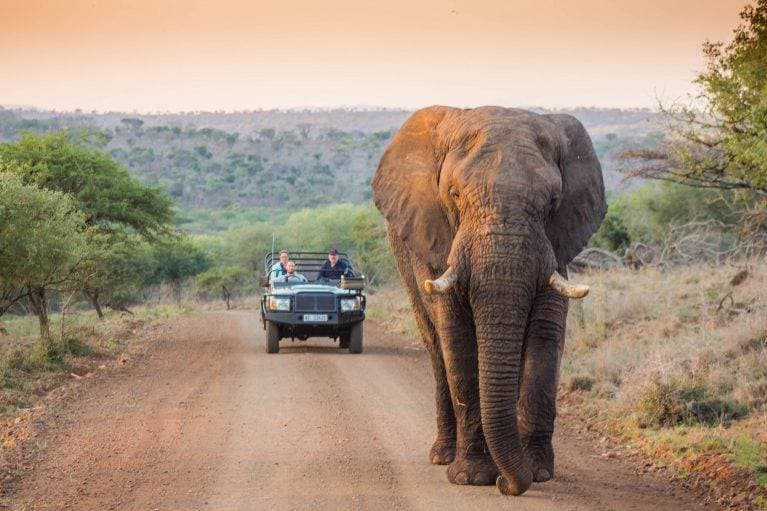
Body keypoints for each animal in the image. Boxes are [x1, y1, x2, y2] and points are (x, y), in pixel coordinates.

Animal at [372, 107, 608, 496]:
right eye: (453, 194)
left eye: (552, 202)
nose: (506, 485)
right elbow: (458, 341)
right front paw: (472, 477)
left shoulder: (555, 247)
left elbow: (546, 336)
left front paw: (537, 472)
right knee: (436, 349)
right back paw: (443, 456)